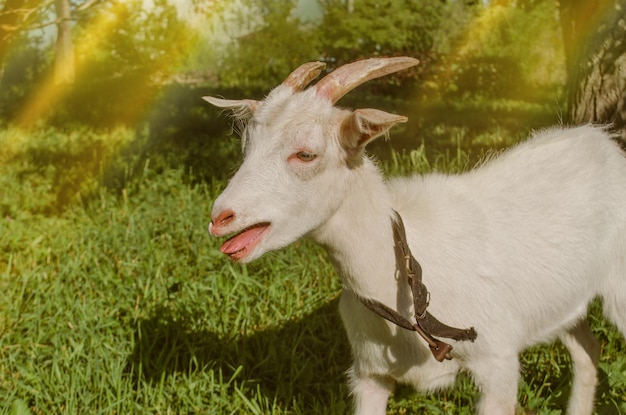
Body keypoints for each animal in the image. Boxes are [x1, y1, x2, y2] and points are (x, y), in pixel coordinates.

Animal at [205, 57, 624, 415]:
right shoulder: (369, 376)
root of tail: (601, 141)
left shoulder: (498, 364)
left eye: (306, 154)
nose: (220, 217)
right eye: (246, 147)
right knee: (588, 351)